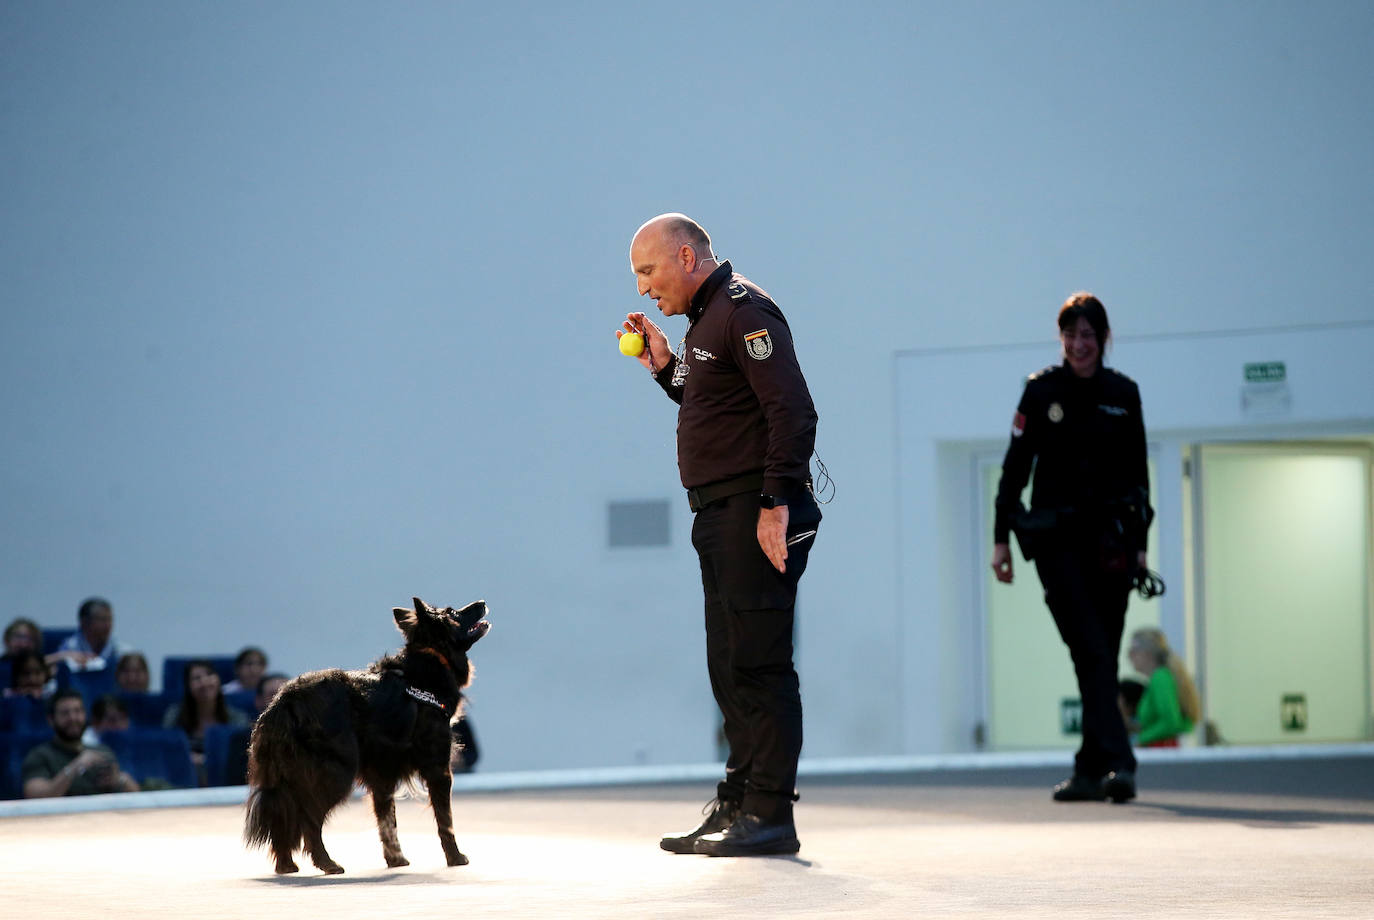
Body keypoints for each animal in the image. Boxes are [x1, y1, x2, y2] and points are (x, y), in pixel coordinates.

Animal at [244, 601, 491, 873]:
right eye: (453, 613)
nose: (482, 602)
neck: (431, 661)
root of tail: (286, 703)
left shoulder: (381, 776)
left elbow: (387, 822)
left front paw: (395, 860)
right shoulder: (438, 769)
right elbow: (445, 821)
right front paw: (455, 858)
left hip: (290, 780)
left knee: (284, 817)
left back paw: (286, 865)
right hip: (335, 775)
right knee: (308, 821)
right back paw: (326, 863)